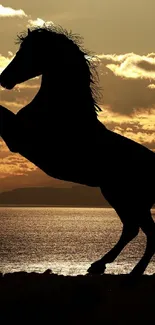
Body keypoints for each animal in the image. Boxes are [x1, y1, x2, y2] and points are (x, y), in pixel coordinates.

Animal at [0, 25, 155, 274]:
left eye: (27, 52)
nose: (4, 79)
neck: (62, 110)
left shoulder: (19, 138)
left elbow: (1, 113)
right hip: (120, 196)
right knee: (132, 229)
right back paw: (99, 265)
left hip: (130, 199)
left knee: (146, 232)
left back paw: (133, 271)